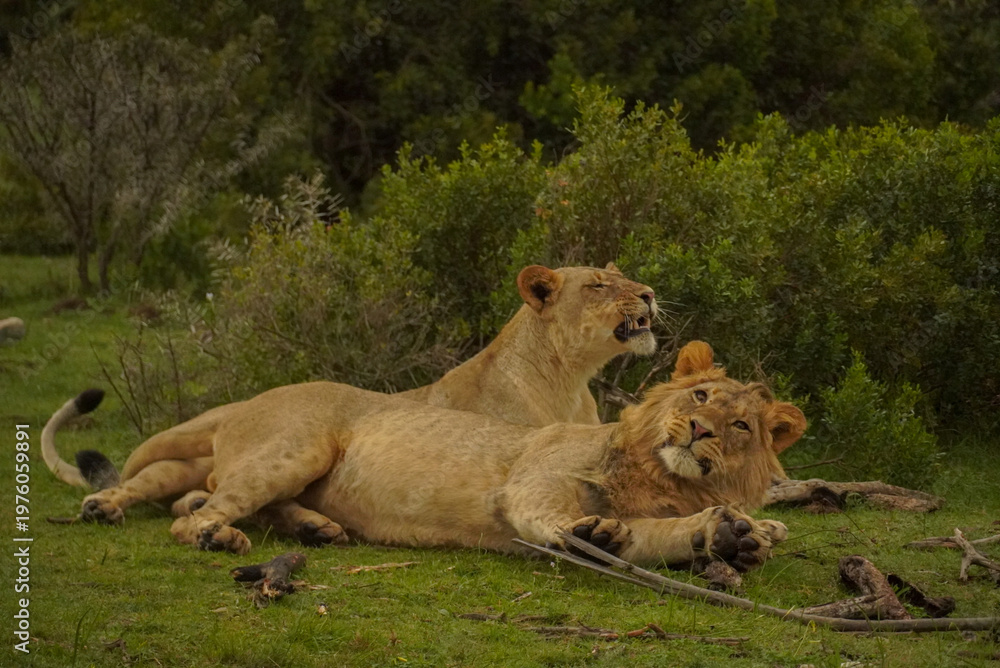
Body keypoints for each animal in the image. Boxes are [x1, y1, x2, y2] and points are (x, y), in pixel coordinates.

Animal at [47, 341, 806, 571]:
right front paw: (594, 530)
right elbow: (553, 517)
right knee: (191, 511)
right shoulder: (529, 483)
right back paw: (207, 533)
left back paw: (315, 529)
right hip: (296, 446)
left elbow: (657, 539)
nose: (698, 430)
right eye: (700, 394)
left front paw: (734, 536)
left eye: (740, 423)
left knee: (209, 497)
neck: (658, 480)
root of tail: (250, 399)